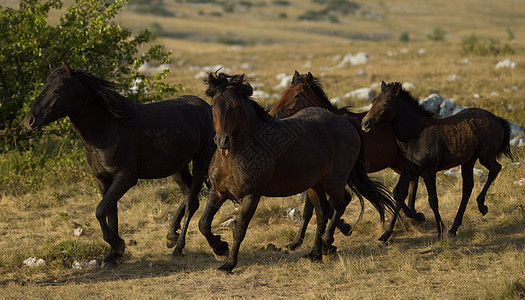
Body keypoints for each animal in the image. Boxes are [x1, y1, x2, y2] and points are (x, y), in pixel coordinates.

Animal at [23, 64, 216, 268]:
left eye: (57, 90)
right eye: (44, 86)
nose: (30, 121)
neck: (107, 129)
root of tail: (207, 108)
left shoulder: (125, 178)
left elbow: (100, 211)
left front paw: (118, 245)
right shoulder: (103, 180)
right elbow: (110, 213)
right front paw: (111, 256)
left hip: (200, 162)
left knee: (192, 203)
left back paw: (178, 247)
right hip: (177, 168)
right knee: (189, 196)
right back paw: (171, 235)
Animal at [199, 72, 396, 272]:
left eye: (236, 106)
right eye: (213, 105)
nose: (222, 141)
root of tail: (345, 122)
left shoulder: (251, 195)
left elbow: (239, 230)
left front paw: (229, 263)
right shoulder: (218, 191)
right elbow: (204, 224)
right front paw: (220, 248)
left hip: (333, 181)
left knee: (341, 203)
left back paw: (327, 246)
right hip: (315, 186)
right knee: (323, 212)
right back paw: (314, 253)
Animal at [270, 71, 422, 250]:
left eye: (297, 95)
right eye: (283, 92)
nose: (272, 114)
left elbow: (328, 206)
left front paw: (340, 229)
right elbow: (311, 210)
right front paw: (295, 242)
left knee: (406, 187)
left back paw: (404, 221)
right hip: (396, 164)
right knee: (411, 183)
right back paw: (412, 215)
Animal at [360, 82, 512, 241]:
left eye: (385, 104)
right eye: (373, 101)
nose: (365, 123)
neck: (415, 135)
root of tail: (497, 119)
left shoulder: (428, 171)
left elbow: (433, 200)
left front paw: (440, 230)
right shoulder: (409, 169)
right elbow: (398, 193)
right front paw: (386, 234)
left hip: (485, 156)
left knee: (495, 169)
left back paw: (481, 206)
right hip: (468, 161)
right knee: (468, 187)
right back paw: (454, 228)